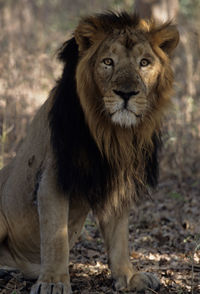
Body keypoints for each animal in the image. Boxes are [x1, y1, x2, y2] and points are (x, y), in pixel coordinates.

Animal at [0, 11, 178, 294]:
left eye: (144, 63)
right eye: (108, 62)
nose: (126, 93)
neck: (111, 133)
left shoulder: (118, 179)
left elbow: (120, 237)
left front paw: (129, 277)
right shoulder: (53, 177)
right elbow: (56, 237)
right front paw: (53, 282)